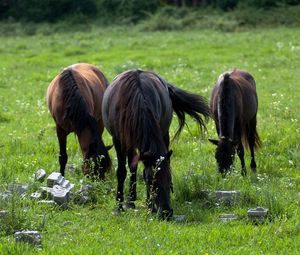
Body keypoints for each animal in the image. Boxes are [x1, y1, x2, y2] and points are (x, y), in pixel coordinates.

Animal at [102, 69, 210, 219]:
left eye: (169, 179)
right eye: (150, 181)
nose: (166, 213)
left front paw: (150, 206)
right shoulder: (118, 140)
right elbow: (122, 171)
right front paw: (119, 206)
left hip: (163, 134)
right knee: (132, 165)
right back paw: (130, 201)